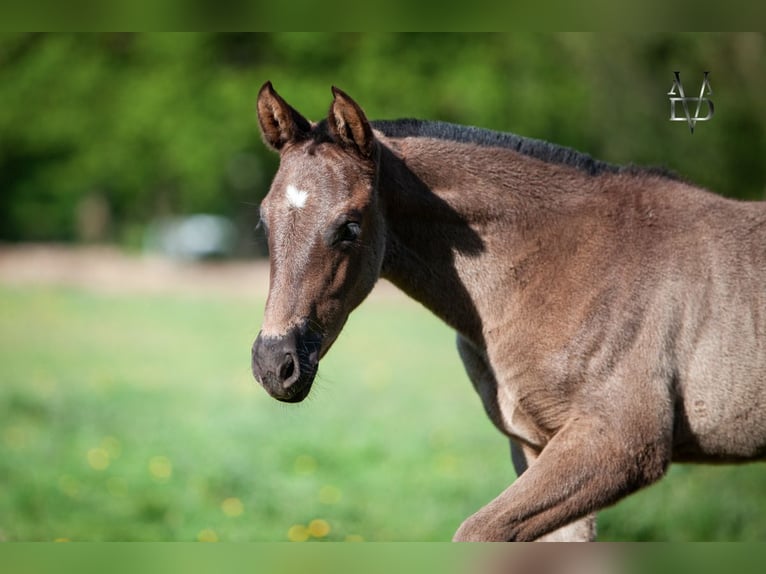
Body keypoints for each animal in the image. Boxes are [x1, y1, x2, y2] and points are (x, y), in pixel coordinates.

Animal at [249, 83, 764, 544]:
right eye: (264, 220)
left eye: (350, 227)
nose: (275, 364)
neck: (555, 270)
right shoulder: (536, 448)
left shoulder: (621, 443)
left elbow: (477, 532)